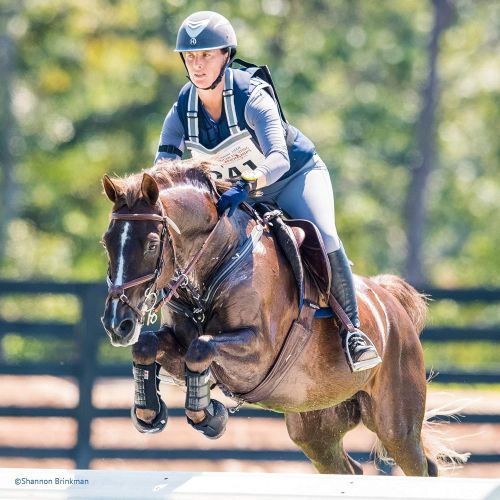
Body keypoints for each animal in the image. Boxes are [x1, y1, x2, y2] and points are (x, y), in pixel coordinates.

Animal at [100, 158, 464, 474]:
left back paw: (359, 346)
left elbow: (201, 348)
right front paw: (149, 413)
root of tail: (391, 304)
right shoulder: (180, 345)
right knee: (348, 468)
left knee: (420, 465)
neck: (219, 261)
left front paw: (211, 417)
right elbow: (149, 345)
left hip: (395, 423)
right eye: (106, 243)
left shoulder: (257, 352)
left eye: (151, 244)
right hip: (315, 426)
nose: (117, 324)